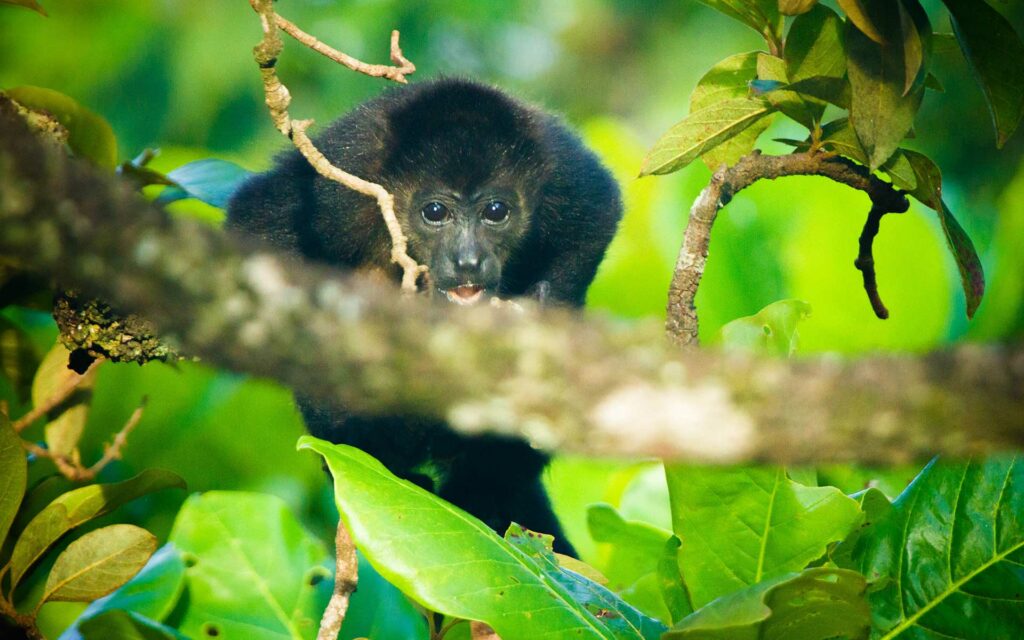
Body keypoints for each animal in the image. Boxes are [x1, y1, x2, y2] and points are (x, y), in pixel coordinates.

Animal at [226, 78, 621, 556]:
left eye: (496, 212)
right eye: (435, 212)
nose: (468, 261)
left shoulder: (560, 166)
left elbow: (598, 210)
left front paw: (547, 309)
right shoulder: (344, 174)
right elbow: (261, 213)